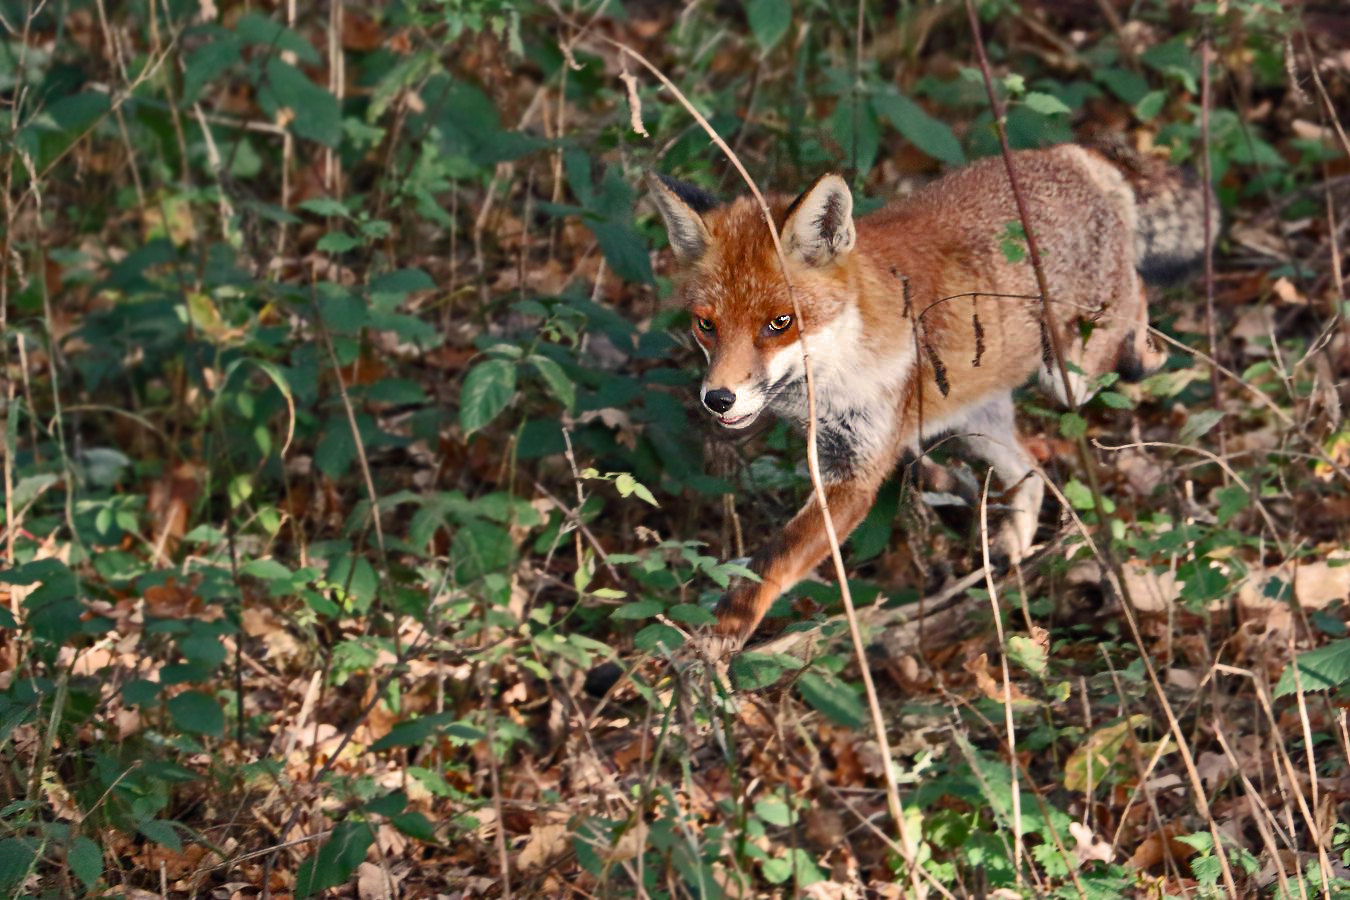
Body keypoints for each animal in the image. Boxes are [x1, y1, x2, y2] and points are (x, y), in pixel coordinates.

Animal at [648, 144, 1220, 644]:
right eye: (706, 325)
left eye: (780, 323)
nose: (718, 399)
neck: (844, 361)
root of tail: (1070, 153)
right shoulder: (838, 451)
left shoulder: (854, 476)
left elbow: (773, 561)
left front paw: (721, 636)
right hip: (978, 417)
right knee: (1032, 471)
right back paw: (1012, 545)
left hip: (1068, 374)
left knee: (1136, 294)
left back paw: (1147, 353)